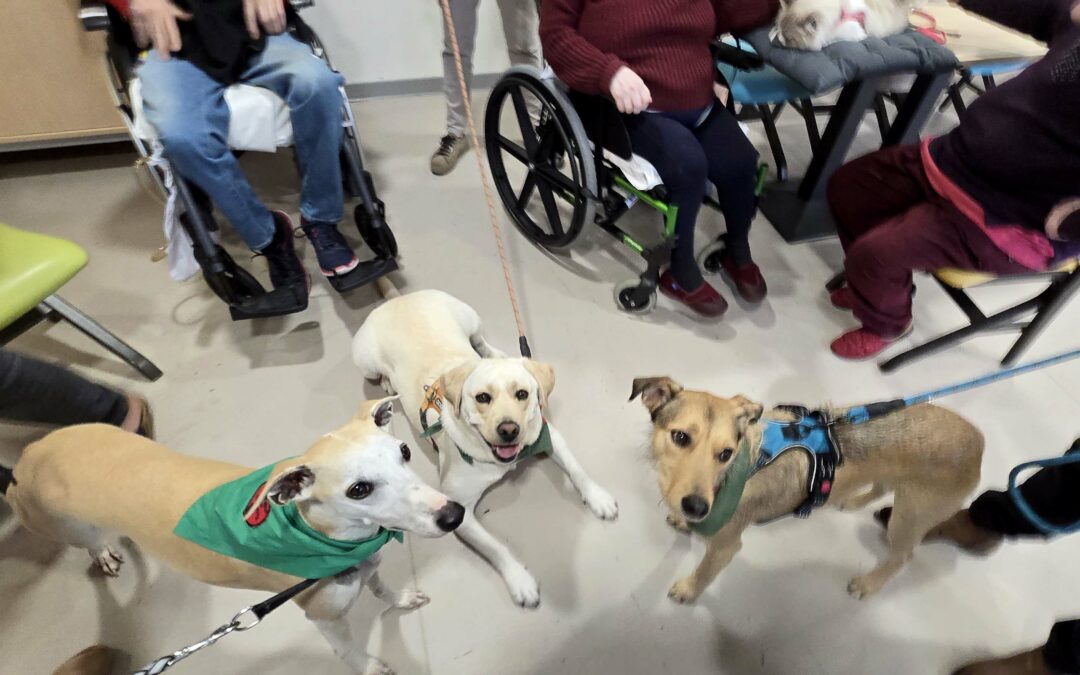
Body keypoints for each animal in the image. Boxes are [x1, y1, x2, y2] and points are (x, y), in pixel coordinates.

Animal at [4, 397, 468, 669]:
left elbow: (380, 587)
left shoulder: (367, 562)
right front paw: (373, 665)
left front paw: (401, 598)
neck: (323, 535)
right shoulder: (325, 618)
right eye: (359, 489)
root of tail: (29, 454)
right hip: (60, 523)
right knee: (88, 540)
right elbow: (351, 653)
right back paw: (101, 551)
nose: (454, 514)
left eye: (404, 451)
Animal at [354, 280, 617, 609]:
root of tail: (398, 298)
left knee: (481, 342)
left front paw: (598, 496)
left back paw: (498, 354)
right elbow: (496, 547)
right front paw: (520, 580)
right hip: (365, 362)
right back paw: (388, 382)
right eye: (482, 398)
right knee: (378, 374)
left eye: (522, 394)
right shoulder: (460, 511)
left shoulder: (549, 435)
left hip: (470, 317)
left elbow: (577, 469)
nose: (509, 430)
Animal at [630, 375, 984, 604]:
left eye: (725, 453)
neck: (746, 462)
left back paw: (868, 584)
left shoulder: (725, 547)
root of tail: (979, 441)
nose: (696, 507)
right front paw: (682, 520)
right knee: (882, 484)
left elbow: (704, 572)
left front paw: (689, 590)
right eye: (680, 437)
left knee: (903, 556)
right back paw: (854, 501)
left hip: (910, 517)